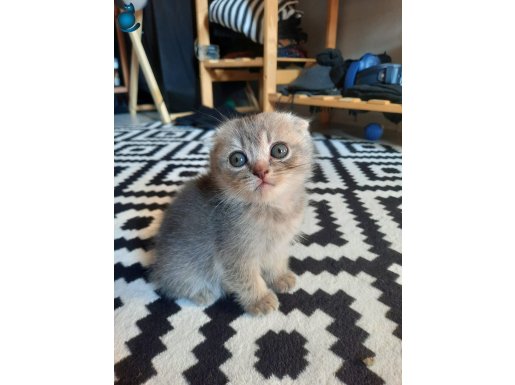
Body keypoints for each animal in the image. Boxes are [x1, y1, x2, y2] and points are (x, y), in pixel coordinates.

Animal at [149, 111, 314, 316]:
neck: (269, 210)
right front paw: (260, 299)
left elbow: (275, 260)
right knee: (173, 285)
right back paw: (202, 294)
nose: (260, 171)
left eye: (279, 150)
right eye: (237, 159)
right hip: (182, 265)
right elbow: (247, 279)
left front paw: (279, 277)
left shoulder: (277, 244)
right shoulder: (233, 255)